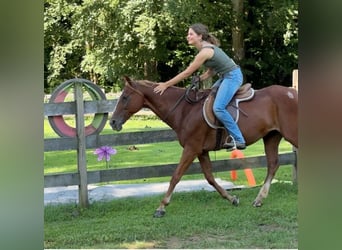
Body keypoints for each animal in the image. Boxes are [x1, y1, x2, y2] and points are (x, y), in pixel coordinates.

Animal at [109, 75, 296, 217]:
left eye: (125, 97)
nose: (112, 122)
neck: (185, 110)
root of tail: (293, 92)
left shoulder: (191, 148)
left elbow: (176, 176)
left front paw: (161, 207)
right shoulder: (201, 150)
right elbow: (210, 178)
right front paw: (231, 198)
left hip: (290, 134)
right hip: (271, 137)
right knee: (273, 164)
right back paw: (259, 199)